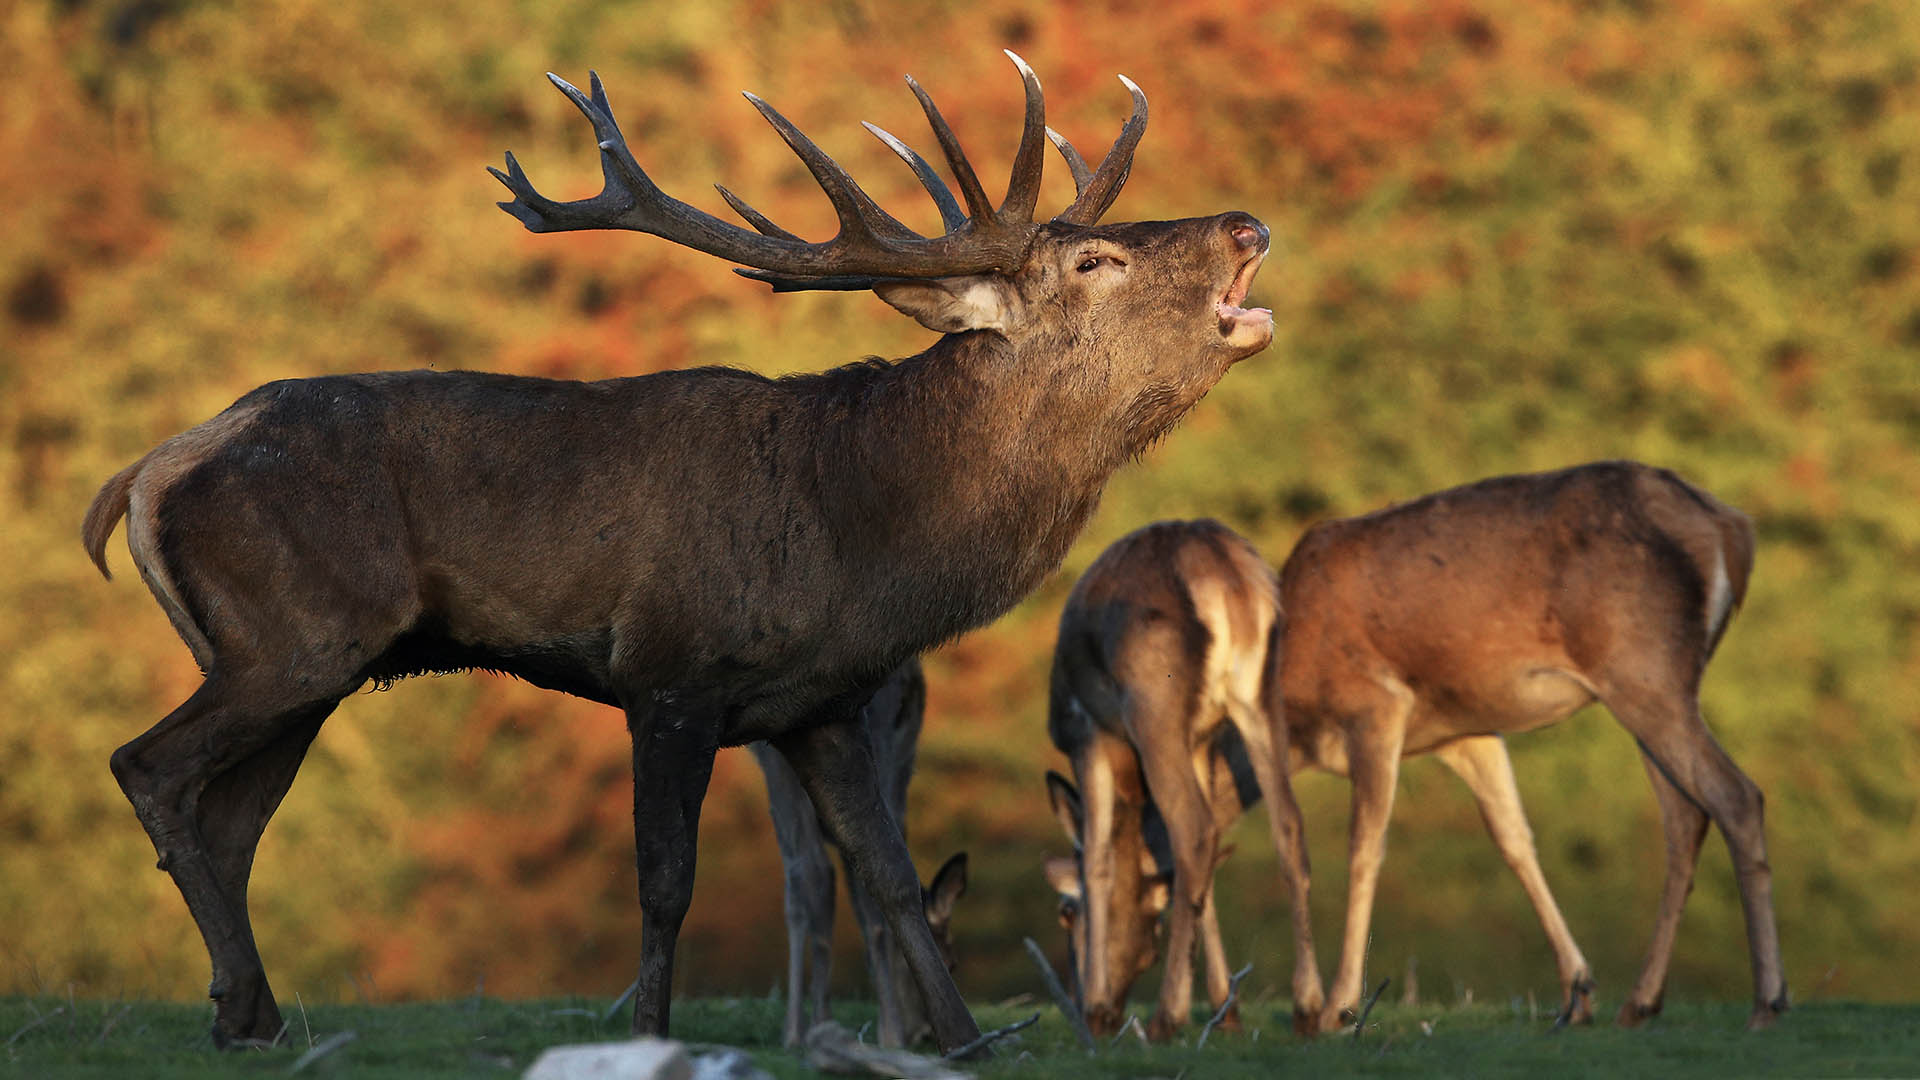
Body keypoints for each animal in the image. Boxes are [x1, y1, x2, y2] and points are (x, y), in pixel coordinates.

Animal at [748, 657, 968, 1048]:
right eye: (952, 963)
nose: (925, 1032)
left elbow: (802, 885)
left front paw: (799, 1029)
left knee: (815, 871)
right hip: (893, 754)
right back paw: (887, 1031)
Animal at [1043, 462, 1790, 1039]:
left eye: (1068, 909)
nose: (1083, 1003)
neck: (1301, 700)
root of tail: (1734, 531)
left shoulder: (1377, 708)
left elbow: (1364, 846)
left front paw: (1339, 1006)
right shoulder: (1466, 733)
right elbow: (1514, 840)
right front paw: (1576, 991)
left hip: (1646, 670)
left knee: (1737, 794)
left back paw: (1767, 1002)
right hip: (1646, 687)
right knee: (1684, 816)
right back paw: (1641, 1001)